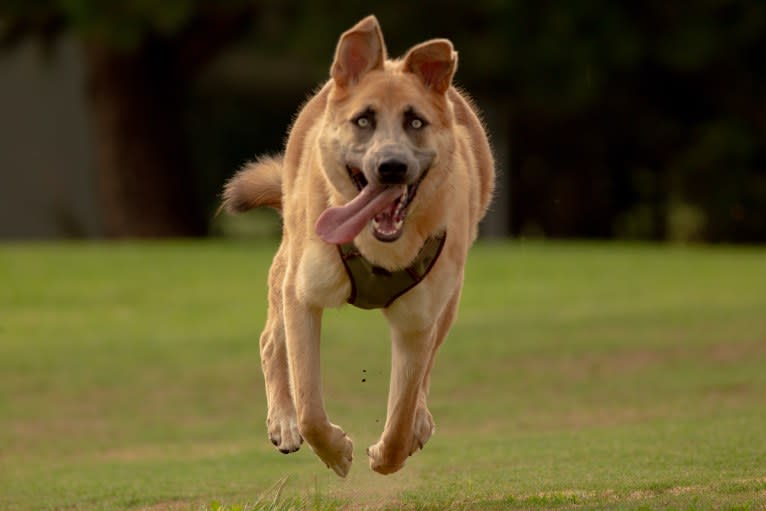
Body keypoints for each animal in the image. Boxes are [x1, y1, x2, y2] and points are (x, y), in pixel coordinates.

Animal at [225, 16, 496, 478]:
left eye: (416, 123)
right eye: (364, 120)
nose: (391, 167)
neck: (378, 248)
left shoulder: (417, 321)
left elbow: (402, 410)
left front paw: (388, 454)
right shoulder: (303, 296)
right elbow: (310, 405)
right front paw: (336, 452)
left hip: (449, 301)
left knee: (426, 371)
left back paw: (420, 421)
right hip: (287, 269)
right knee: (271, 343)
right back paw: (283, 421)